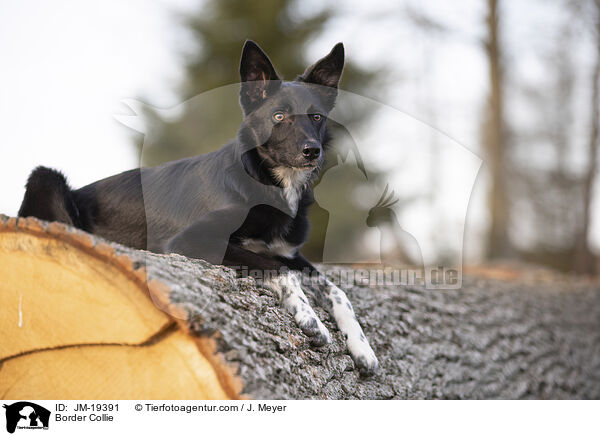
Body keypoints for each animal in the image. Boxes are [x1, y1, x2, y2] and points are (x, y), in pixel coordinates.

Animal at [19, 41, 380, 374]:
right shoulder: (191, 241)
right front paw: (310, 319)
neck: (268, 184)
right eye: (279, 117)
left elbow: (336, 290)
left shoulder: (288, 251)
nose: (312, 151)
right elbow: (279, 270)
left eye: (316, 117)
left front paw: (362, 347)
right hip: (45, 177)